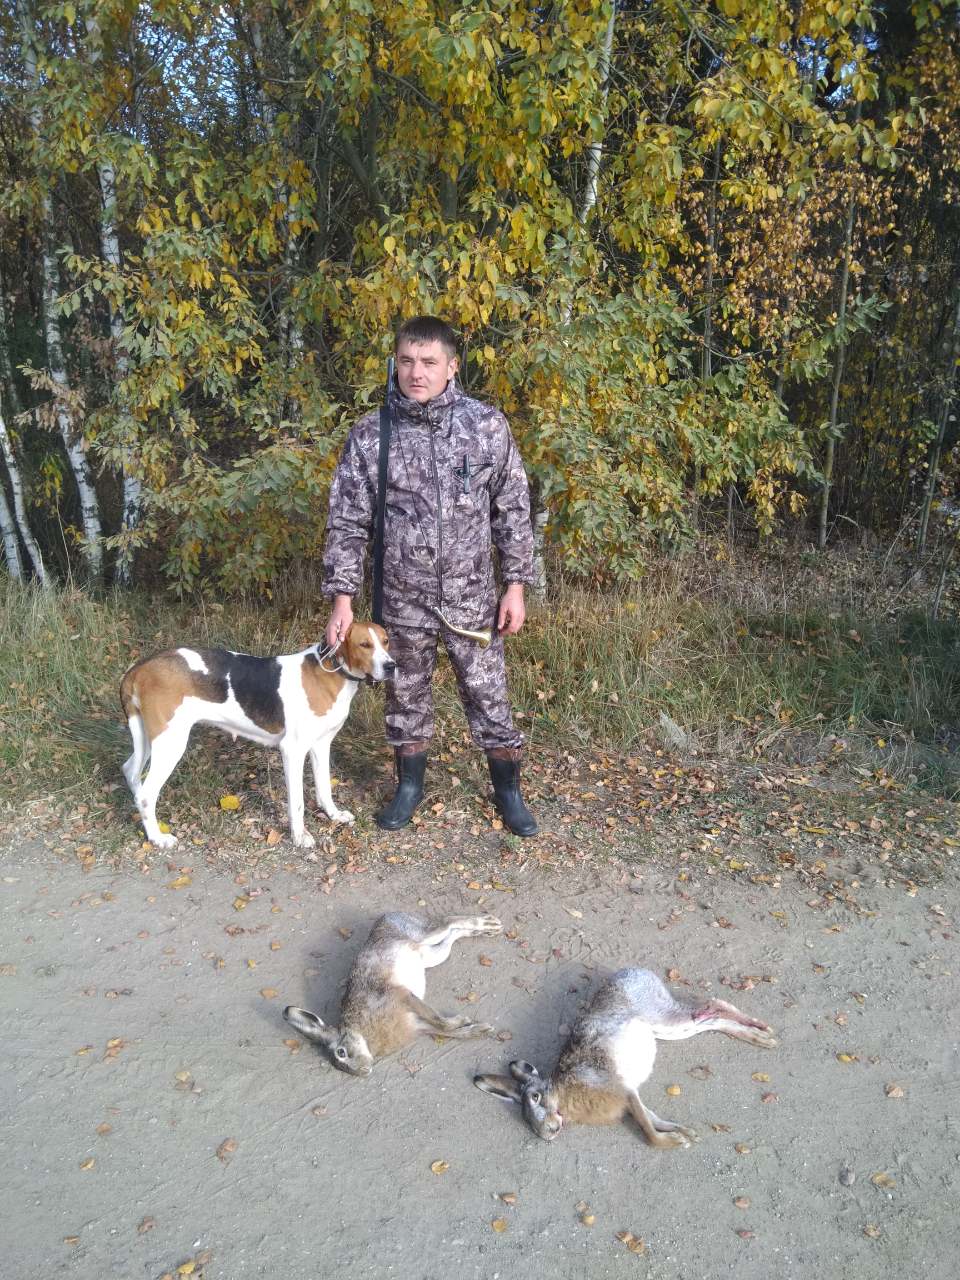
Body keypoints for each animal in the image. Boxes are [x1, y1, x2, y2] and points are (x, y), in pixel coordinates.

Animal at [119, 622, 394, 849]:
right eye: (364, 644)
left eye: (386, 641)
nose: (391, 666)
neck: (331, 672)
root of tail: (140, 667)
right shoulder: (293, 751)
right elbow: (297, 803)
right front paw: (299, 837)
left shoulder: (321, 745)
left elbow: (325, 788)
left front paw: (334, 816)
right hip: (170, 743)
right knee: (146, 795)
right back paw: (157, 838)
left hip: (150, 739)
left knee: (130, 771)